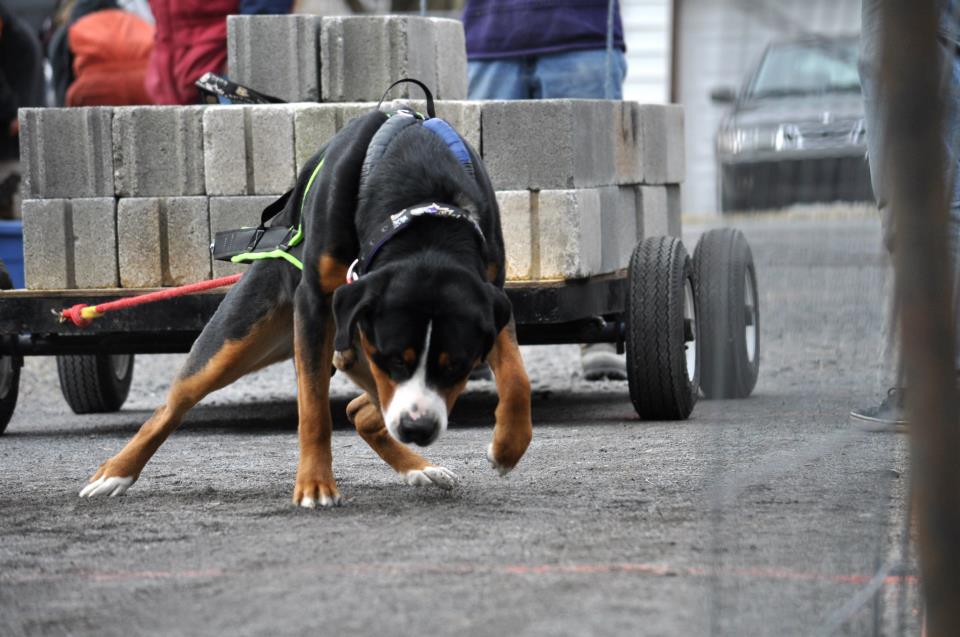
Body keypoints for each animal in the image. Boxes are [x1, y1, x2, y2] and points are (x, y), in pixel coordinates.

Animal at [79, 103, 532, 506]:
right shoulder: (314, 306)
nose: (417, 429)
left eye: (459, 366)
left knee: (361, 409)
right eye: (392, 358)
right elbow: (314, 410)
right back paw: (114, 472)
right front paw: (315, 486)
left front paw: (507, 446)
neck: (422, 203)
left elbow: (516, 377)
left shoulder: (492, 298)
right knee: (174, 403)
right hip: (240, 335)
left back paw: (419, 465)